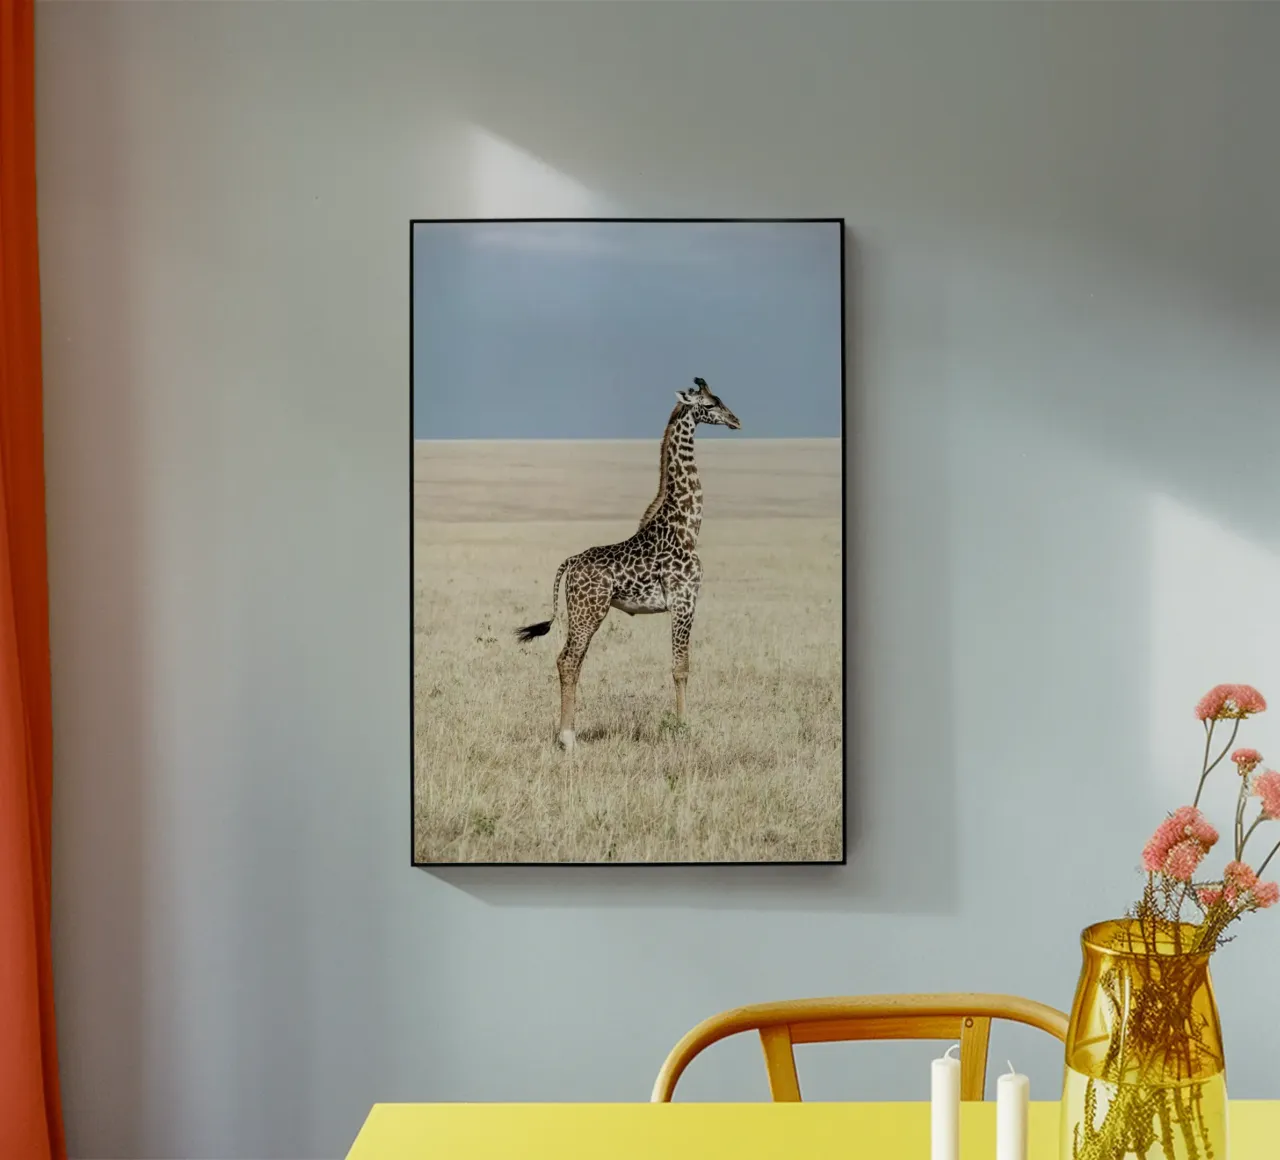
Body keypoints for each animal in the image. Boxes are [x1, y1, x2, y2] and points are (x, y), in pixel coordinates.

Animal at [515, 377, 742, 751]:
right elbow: (681, 667)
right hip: (588, 611)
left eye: (720, 400)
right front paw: (683, 728)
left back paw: (568, 734)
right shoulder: (684, 601)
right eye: (709, 405)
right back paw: (567, 739)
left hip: (584, 613)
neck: (687, 526)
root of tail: (570, 562)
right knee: (568, 660)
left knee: (571, 662)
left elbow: (680, 666)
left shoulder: (684, 603)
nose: (736, 421)